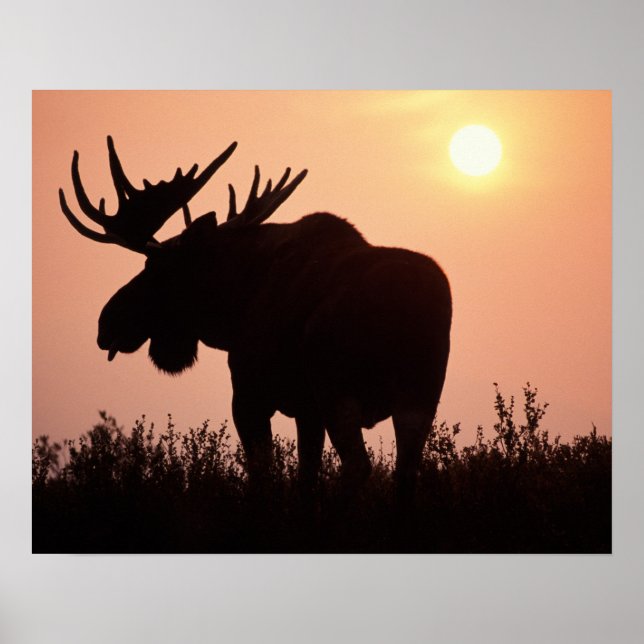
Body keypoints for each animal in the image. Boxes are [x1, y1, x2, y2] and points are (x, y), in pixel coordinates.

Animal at [59, 136, 452, 504]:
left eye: (155, 267)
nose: (107, 322)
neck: (234, 304)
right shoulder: (306, 409)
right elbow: (307, 480)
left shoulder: (250, 395)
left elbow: (264, 478)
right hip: (420, 392)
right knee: (406, 471)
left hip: (338, 387)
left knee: (358, 466)